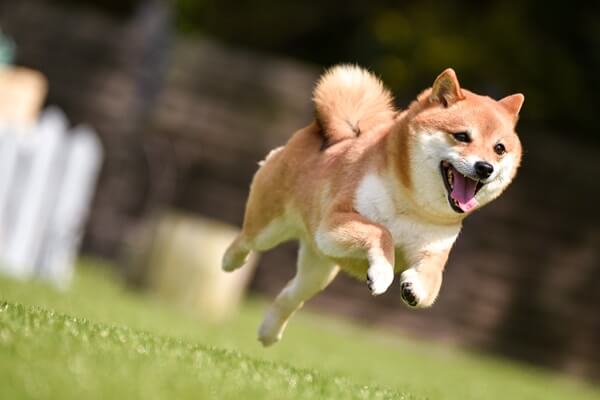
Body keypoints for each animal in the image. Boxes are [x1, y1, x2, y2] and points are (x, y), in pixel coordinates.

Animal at [223, 64, 524, 346]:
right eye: (461, 136)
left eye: (499, 149)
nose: (485, 168)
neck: (412, 204)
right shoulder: (333, 223)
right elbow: (382, 232)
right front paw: (381, 273)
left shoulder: (432, 249)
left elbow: (433, 281)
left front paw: (415, 288)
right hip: (271, 228)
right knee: (245, 241)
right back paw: (231, 261)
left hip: (318, 268)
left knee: (290, 295)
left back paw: (269, 332)